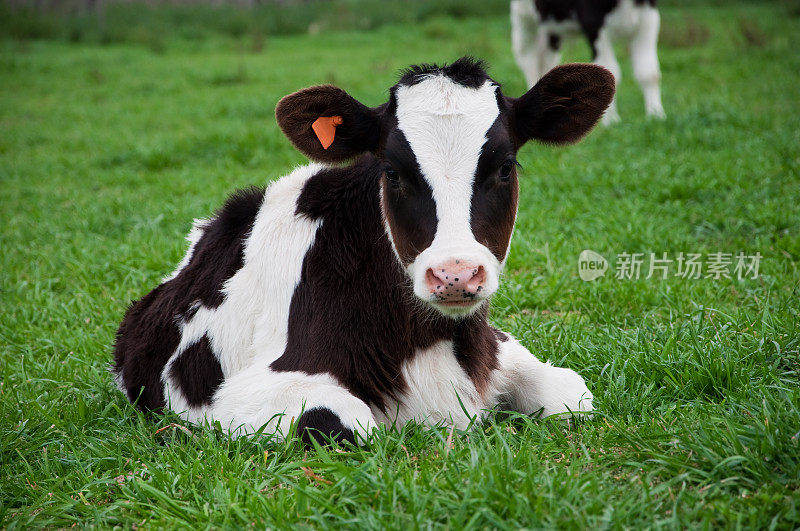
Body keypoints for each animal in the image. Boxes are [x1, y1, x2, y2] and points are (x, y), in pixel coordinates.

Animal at [111, 58, 612, 446]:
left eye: (505, 167)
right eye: (391, 171)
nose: (455, 275)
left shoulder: (500, 348)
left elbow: (573, 394)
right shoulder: (235, 395)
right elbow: (341, 423)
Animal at [512, 0, 664, 123]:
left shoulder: (649, 19)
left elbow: (649, 73)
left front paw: (656, 115)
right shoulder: (594, 24)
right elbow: (611, 72)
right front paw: (611, 121)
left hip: (551, 25)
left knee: (547, 58)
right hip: (524, 18)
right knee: (528, 57)